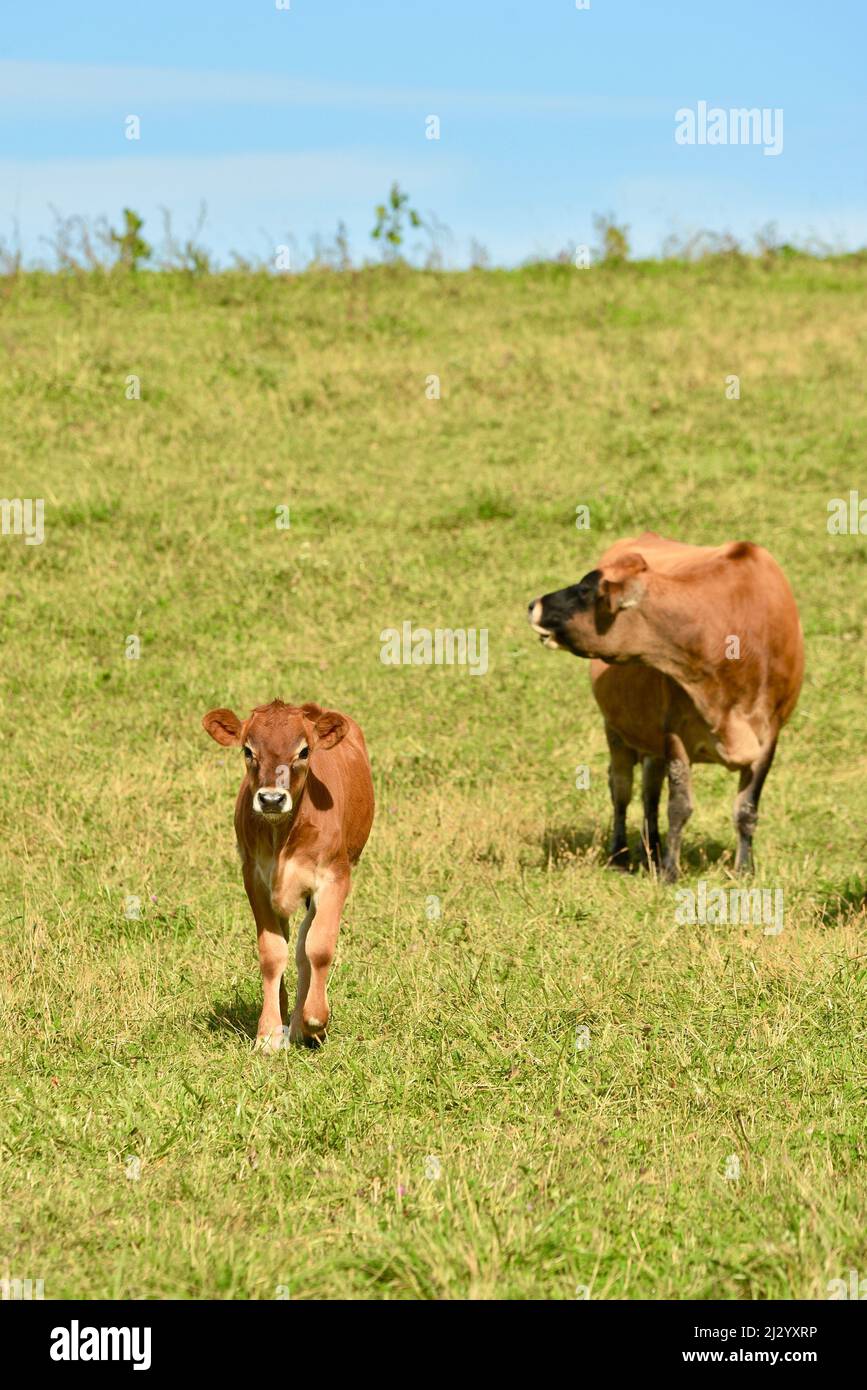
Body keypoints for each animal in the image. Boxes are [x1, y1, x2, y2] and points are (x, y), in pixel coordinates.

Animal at [202, 700, 374, 1049]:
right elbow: (272, 952)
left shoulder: (335, 877)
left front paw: (315, 1020)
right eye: (248, 750)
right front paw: (269, 1033)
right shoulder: (254, 879)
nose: (271, 799)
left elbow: (318, 947)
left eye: (304, 751)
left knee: (305, 946)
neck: (282, 836)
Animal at [528, 532, 804, 880]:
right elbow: (679, 806)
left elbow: (746, 809)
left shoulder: (769, 734)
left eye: (584, 591)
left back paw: (653, 851)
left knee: (650, 792)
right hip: (615, 729)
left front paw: (744, 870)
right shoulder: (676, 730)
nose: (533, 604)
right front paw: (671, 872)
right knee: (621, 788)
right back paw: (620, 856)